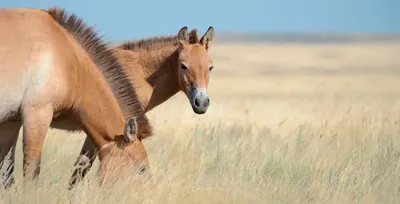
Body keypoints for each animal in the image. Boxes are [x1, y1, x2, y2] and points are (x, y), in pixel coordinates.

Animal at [0, 7, 152, 189]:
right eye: (140, 168)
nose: (151, 190)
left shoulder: (11, 122)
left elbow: (6, 172)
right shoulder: (37, 114)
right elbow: (31, 171)